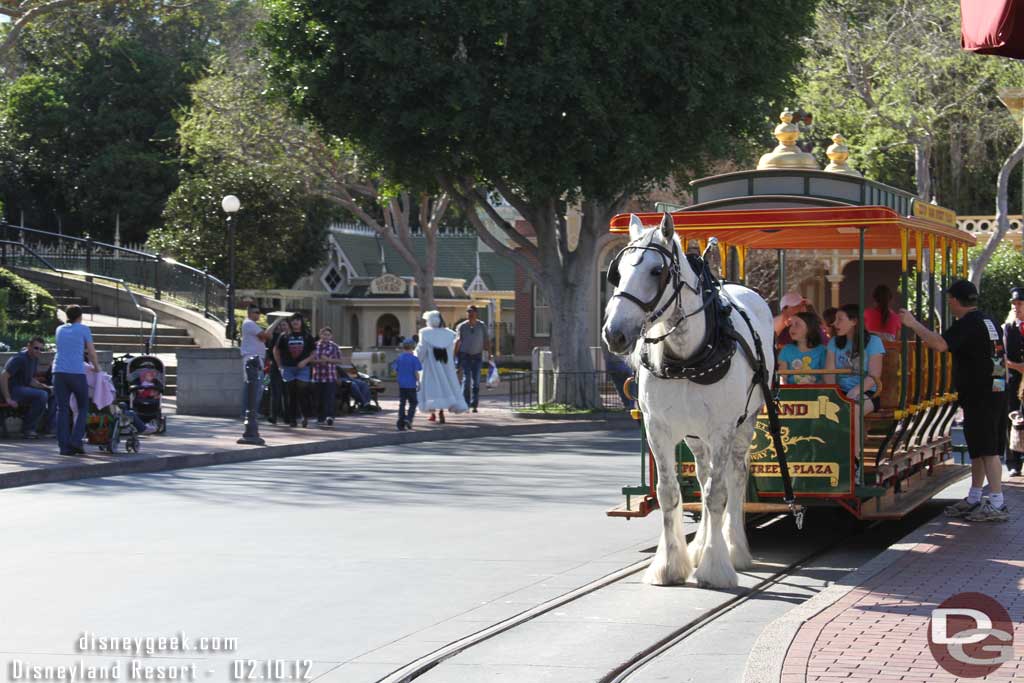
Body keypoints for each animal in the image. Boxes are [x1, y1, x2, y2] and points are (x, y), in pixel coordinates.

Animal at [598, 214, 774, 589]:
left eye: (656, 271)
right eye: (617, 272)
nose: (614, 334)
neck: (687, 358)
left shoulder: (722, 429)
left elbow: (717, 494)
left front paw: (716, 567)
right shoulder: (658, 429)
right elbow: (670, 493)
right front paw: (670, 566)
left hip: (745, 423)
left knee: (734, 478)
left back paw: (735, 550)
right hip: (695, 436)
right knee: (704, 475)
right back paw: (699, 547)